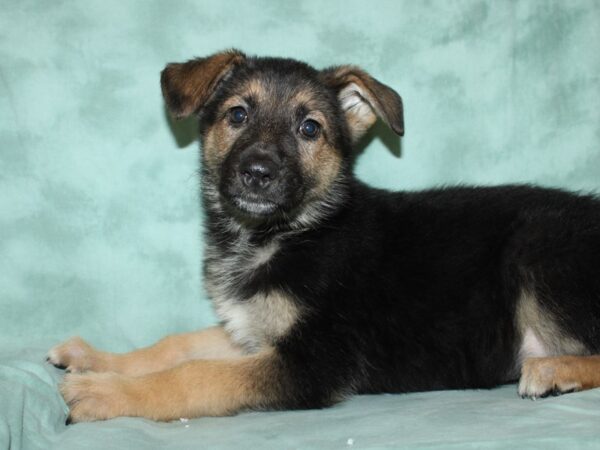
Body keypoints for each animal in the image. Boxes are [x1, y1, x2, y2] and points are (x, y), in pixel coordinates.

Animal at [48, 51, 600, 424]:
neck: (287, 233)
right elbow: (178, 344)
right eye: (237, 115)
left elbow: (196, 373)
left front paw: (106, 393)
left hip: (539, 248)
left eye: (309, 128)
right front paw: (98, 360)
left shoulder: (313, 362)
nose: (258, 173)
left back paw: (553, 371)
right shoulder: (255, 331)